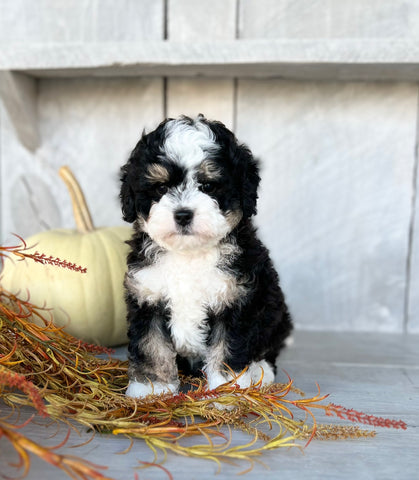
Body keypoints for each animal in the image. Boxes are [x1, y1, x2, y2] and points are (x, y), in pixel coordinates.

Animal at [120, 113, 292, 398]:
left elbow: (227, 350)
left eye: (208, 186)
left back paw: (260, 371)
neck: (188, 254)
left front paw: (227, 391)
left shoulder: (236, 299)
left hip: (275, 312)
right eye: (161, 188)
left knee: (269, 347)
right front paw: (152, 388)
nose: (183, 214)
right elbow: (151, 345)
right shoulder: (148, 296)